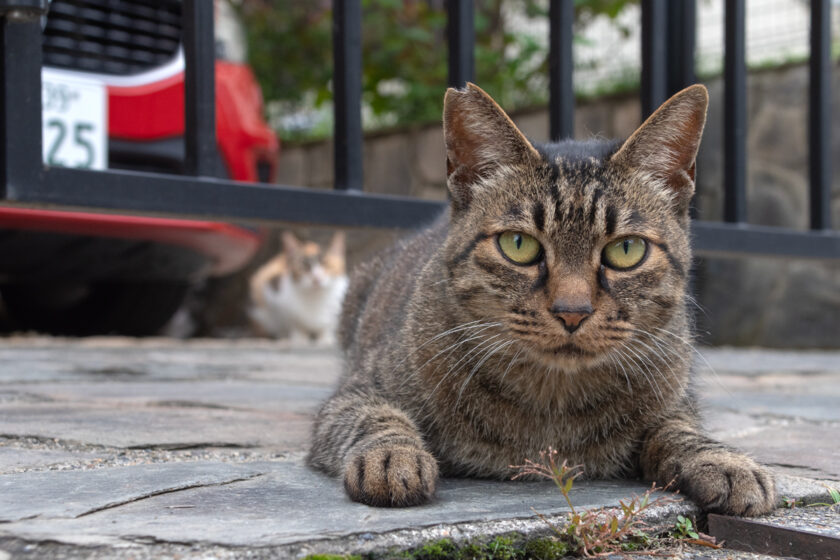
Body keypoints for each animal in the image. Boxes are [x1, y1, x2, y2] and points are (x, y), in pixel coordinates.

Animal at [306, 84, 776, 516]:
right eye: (519, 245)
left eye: (626, 250)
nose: (572, 312)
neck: (552, 403)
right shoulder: (355, 393)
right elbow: (379, 419)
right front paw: (393, 457)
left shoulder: (678, 402)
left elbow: (680, 430)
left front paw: (723, 459)